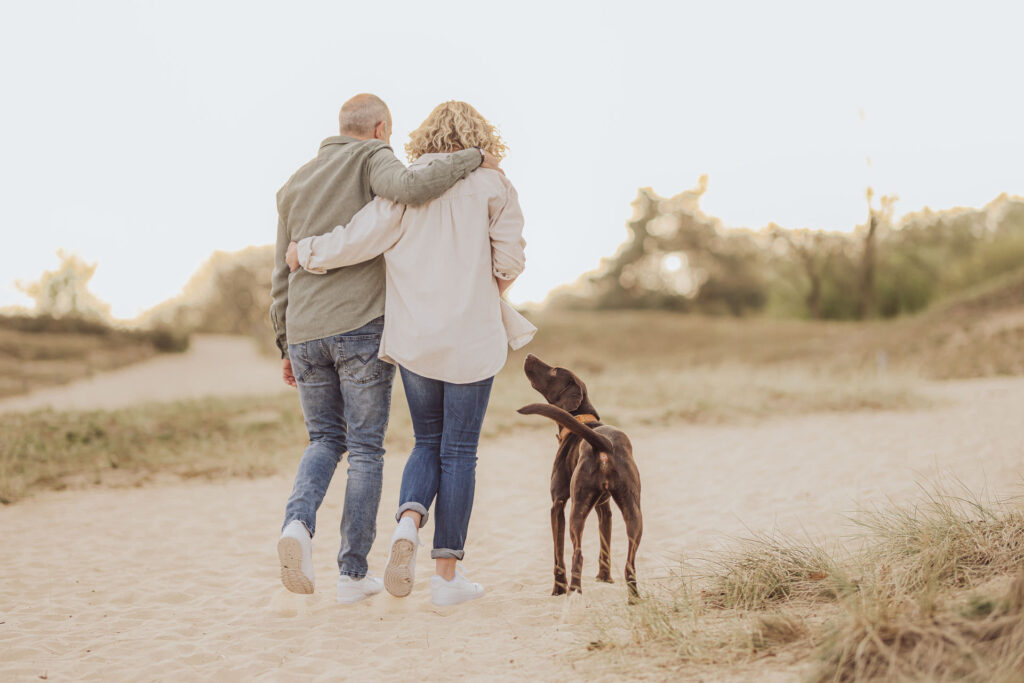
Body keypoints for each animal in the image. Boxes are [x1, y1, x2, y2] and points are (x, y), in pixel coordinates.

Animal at [520, 356, 638, 593]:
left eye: (555, 370)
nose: (529, 356)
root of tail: (605, 444)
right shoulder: (605, 508)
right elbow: (605, 545)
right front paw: (604, 578)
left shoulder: (557, 504)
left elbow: (558, 553)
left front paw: (558, 589)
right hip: (633, 512)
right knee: (630, 564)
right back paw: (634, 597)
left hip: (578, 509)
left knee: (578, 554)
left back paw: (573, 591)